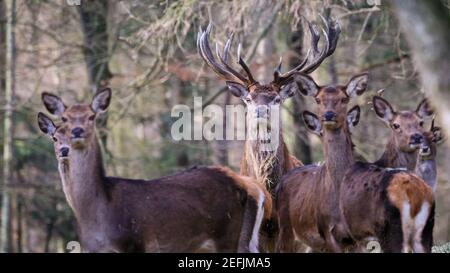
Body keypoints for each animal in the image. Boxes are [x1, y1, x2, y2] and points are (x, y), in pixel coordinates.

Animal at [40, 88, 270, 251]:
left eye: (91, 116)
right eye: (64, 119)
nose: (77, 132)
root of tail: (251, 187)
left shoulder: (135, 243)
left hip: (228, 235)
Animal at [274, 71, 370, 252]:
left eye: (344, 99)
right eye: (318, 99)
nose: (329, 115)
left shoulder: (358, 237)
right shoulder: (326, 230)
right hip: (285, 229)